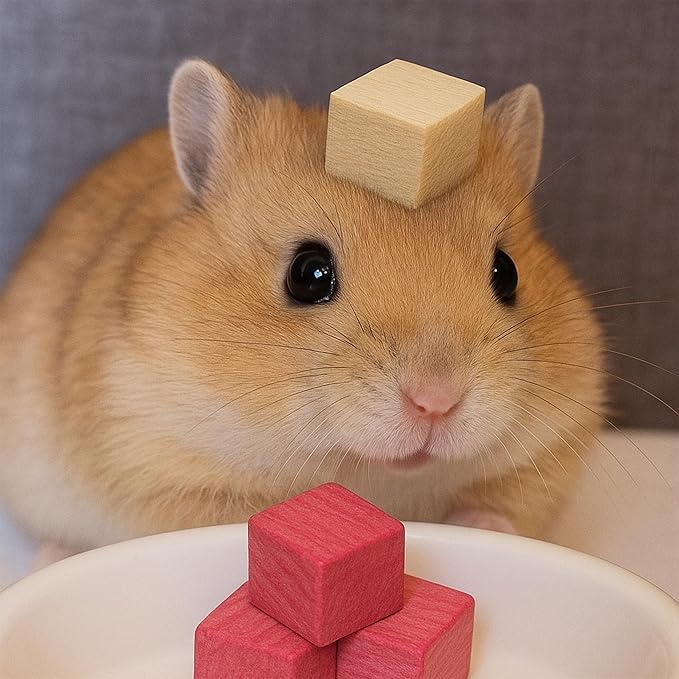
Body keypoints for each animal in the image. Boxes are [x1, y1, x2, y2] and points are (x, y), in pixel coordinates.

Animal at [0, 60, 605, 557]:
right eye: (308, 274)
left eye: (507, 272)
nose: (436, 402)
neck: (369, 471)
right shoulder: (153, 463)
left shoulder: (553, 449)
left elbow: (503, 508)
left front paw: (481, 530)